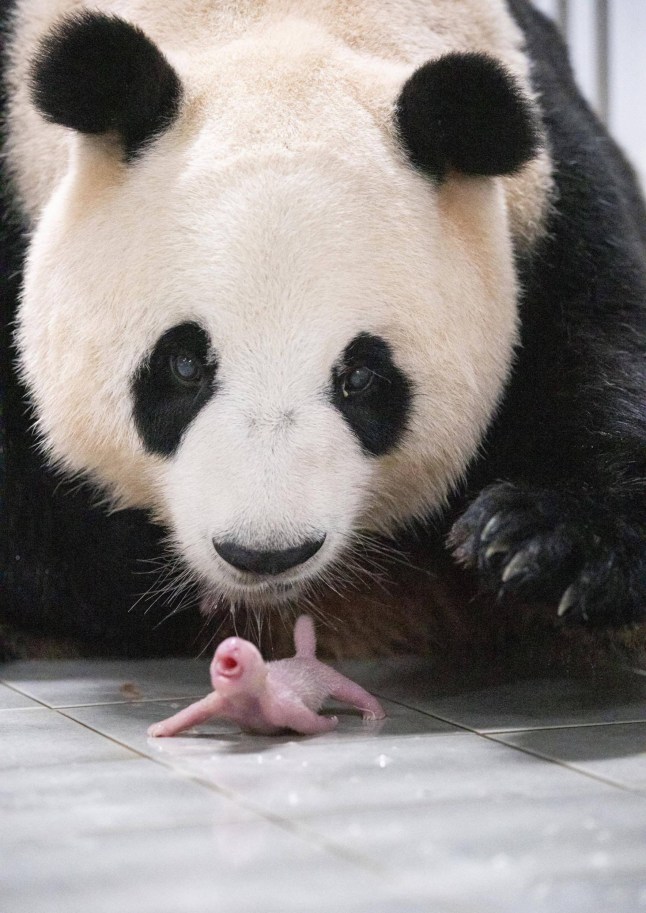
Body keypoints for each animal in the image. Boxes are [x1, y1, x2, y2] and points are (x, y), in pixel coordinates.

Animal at [1, 1, 646, 668]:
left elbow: (605, 343)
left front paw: (540, 544)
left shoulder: (553, 191)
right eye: (183, 365)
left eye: (360, 376)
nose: (265, 553)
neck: (279, 22)